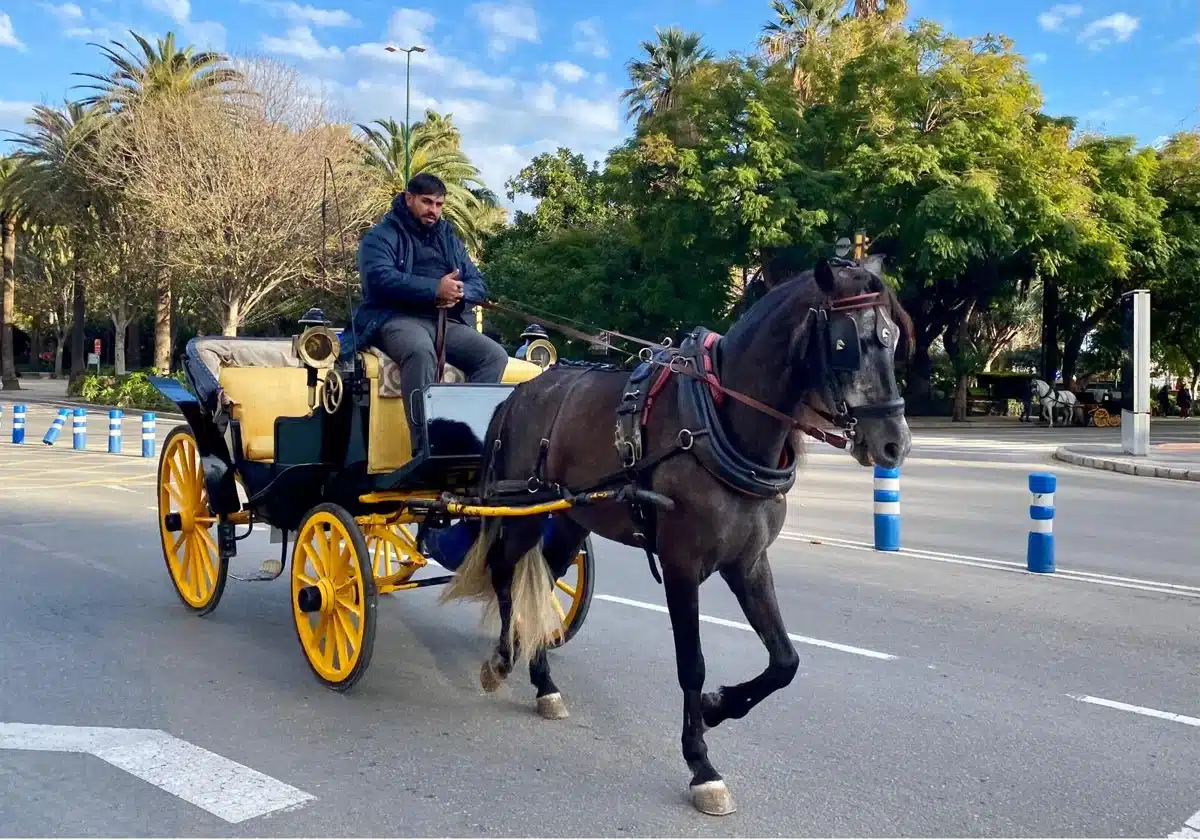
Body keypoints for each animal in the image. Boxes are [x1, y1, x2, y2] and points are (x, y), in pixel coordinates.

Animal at [439, 257, 914, 816]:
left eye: (893, 338)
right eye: (847, 343)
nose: (895, 443)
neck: (720, 422)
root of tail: (522, 391)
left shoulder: (748, 561)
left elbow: (785, 661)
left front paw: (717, 707)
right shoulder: (681, 564)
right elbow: (693, 663)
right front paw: (701, 764)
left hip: (570, 520)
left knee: (543, 583)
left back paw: (543, 683)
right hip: (524, 509)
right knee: (505, 573)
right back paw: (501, 660)